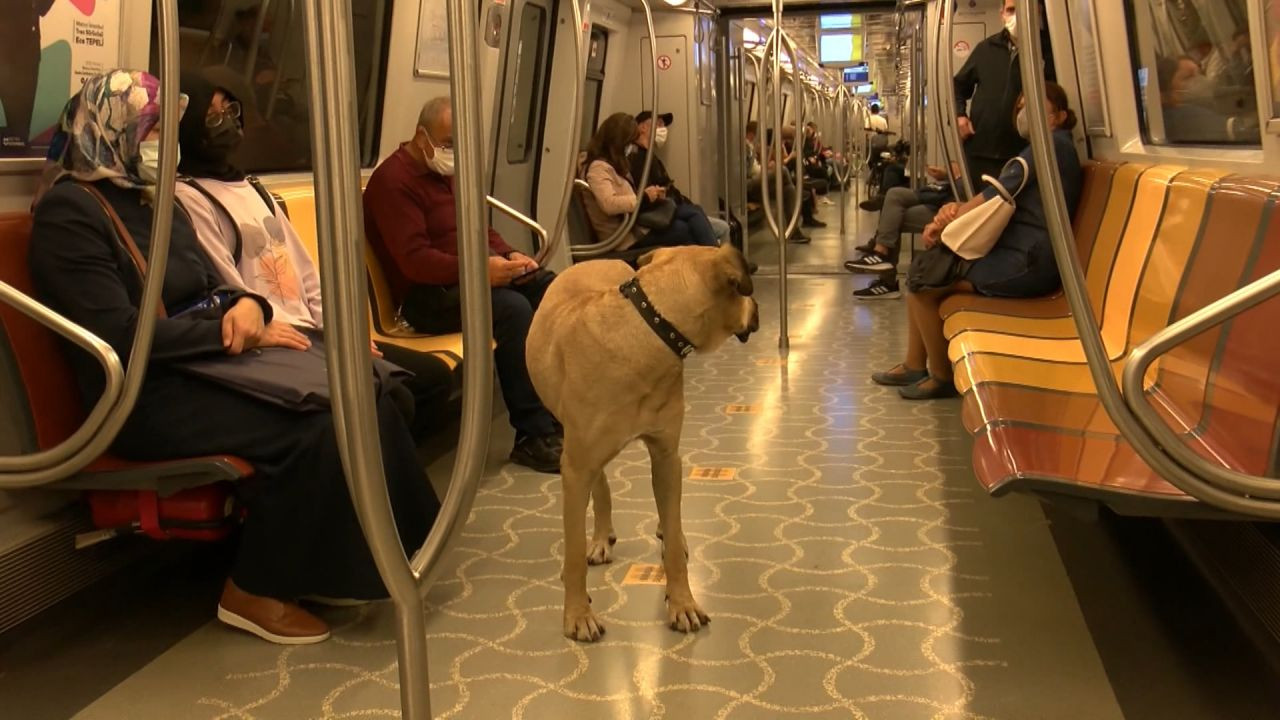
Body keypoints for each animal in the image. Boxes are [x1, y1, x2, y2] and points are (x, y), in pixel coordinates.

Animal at [524, 242, 752, 638]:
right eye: (742, 287)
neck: (650, 328)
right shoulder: (576, 465)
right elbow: (573, 550)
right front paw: (577, 613)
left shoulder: (666, 454)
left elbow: (673, 540)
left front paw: (682, 603)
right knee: (599, 486)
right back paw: (600, 538)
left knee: (667, 511)